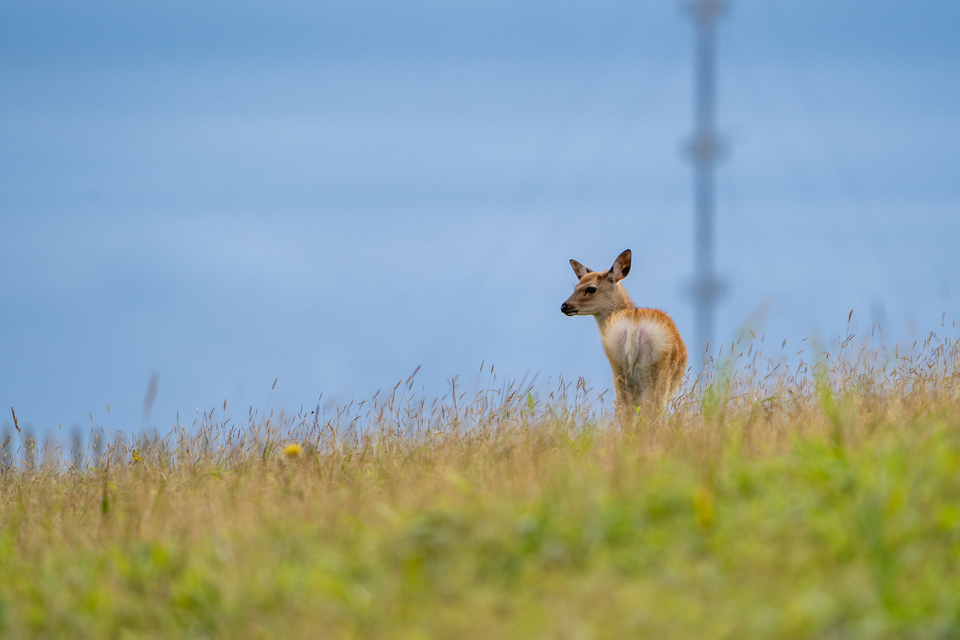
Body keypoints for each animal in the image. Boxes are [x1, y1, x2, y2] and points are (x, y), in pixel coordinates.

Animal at [560, 249, 687, 423]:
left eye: (590, 288)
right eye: (576, 287)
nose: (564, 306)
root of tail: (634, 326)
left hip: (619, 368)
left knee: (624, 413)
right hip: (656, 371)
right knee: (649, 415)